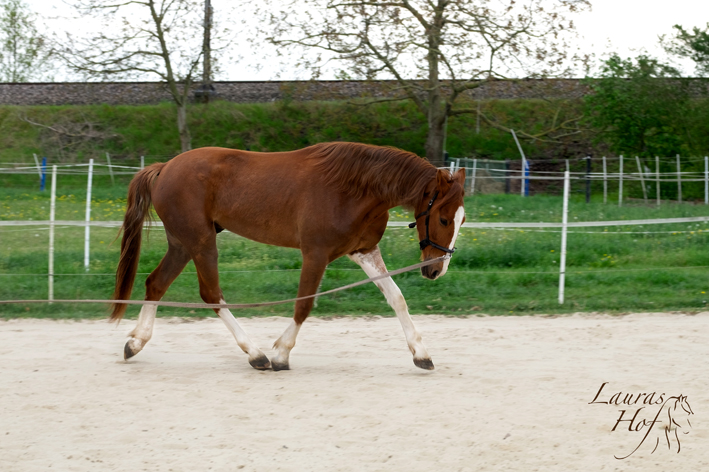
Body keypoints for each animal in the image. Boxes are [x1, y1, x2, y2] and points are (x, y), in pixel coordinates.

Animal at [109, 142, 464, 370]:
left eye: (462, 220)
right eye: (444, 219)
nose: (435, 270)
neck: (355, 189)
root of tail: (164, 167)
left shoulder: (363, 251)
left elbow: (397, 298)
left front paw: (421, 354)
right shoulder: (315, 254)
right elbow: (303, 305)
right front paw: (281, 354)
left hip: (182, 244)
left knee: (156, 283)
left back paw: (134, 343)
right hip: (201, 242)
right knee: (211, 294)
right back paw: (256, 355)